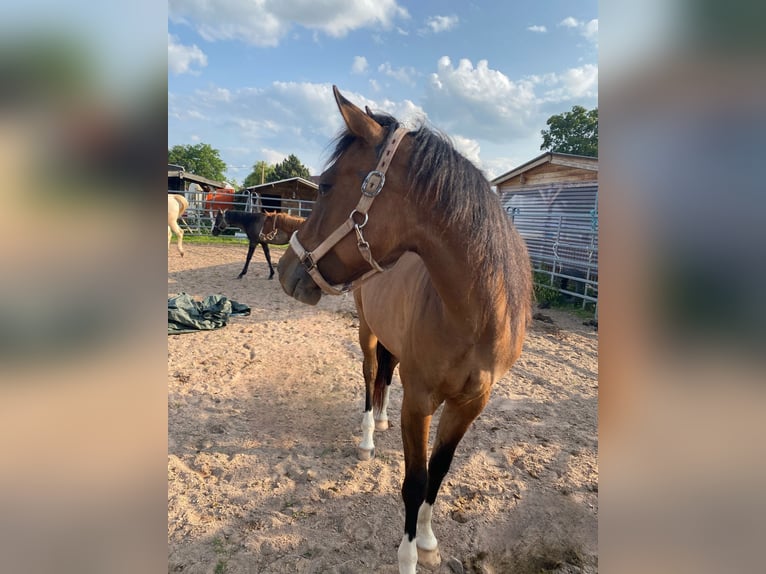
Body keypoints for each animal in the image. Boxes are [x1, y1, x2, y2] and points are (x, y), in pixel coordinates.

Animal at [277, 86, 532, 573]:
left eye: (326, 184)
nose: (285, 270)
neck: (471, 317)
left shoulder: (470, 404)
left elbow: (439, 470)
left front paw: (429, 541)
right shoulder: (420, 401)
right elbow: (414, 480)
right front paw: (409, 556)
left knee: (384, 375)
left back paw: (380, 419)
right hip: (366, 333)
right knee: (368, 376)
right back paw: (367, 437)